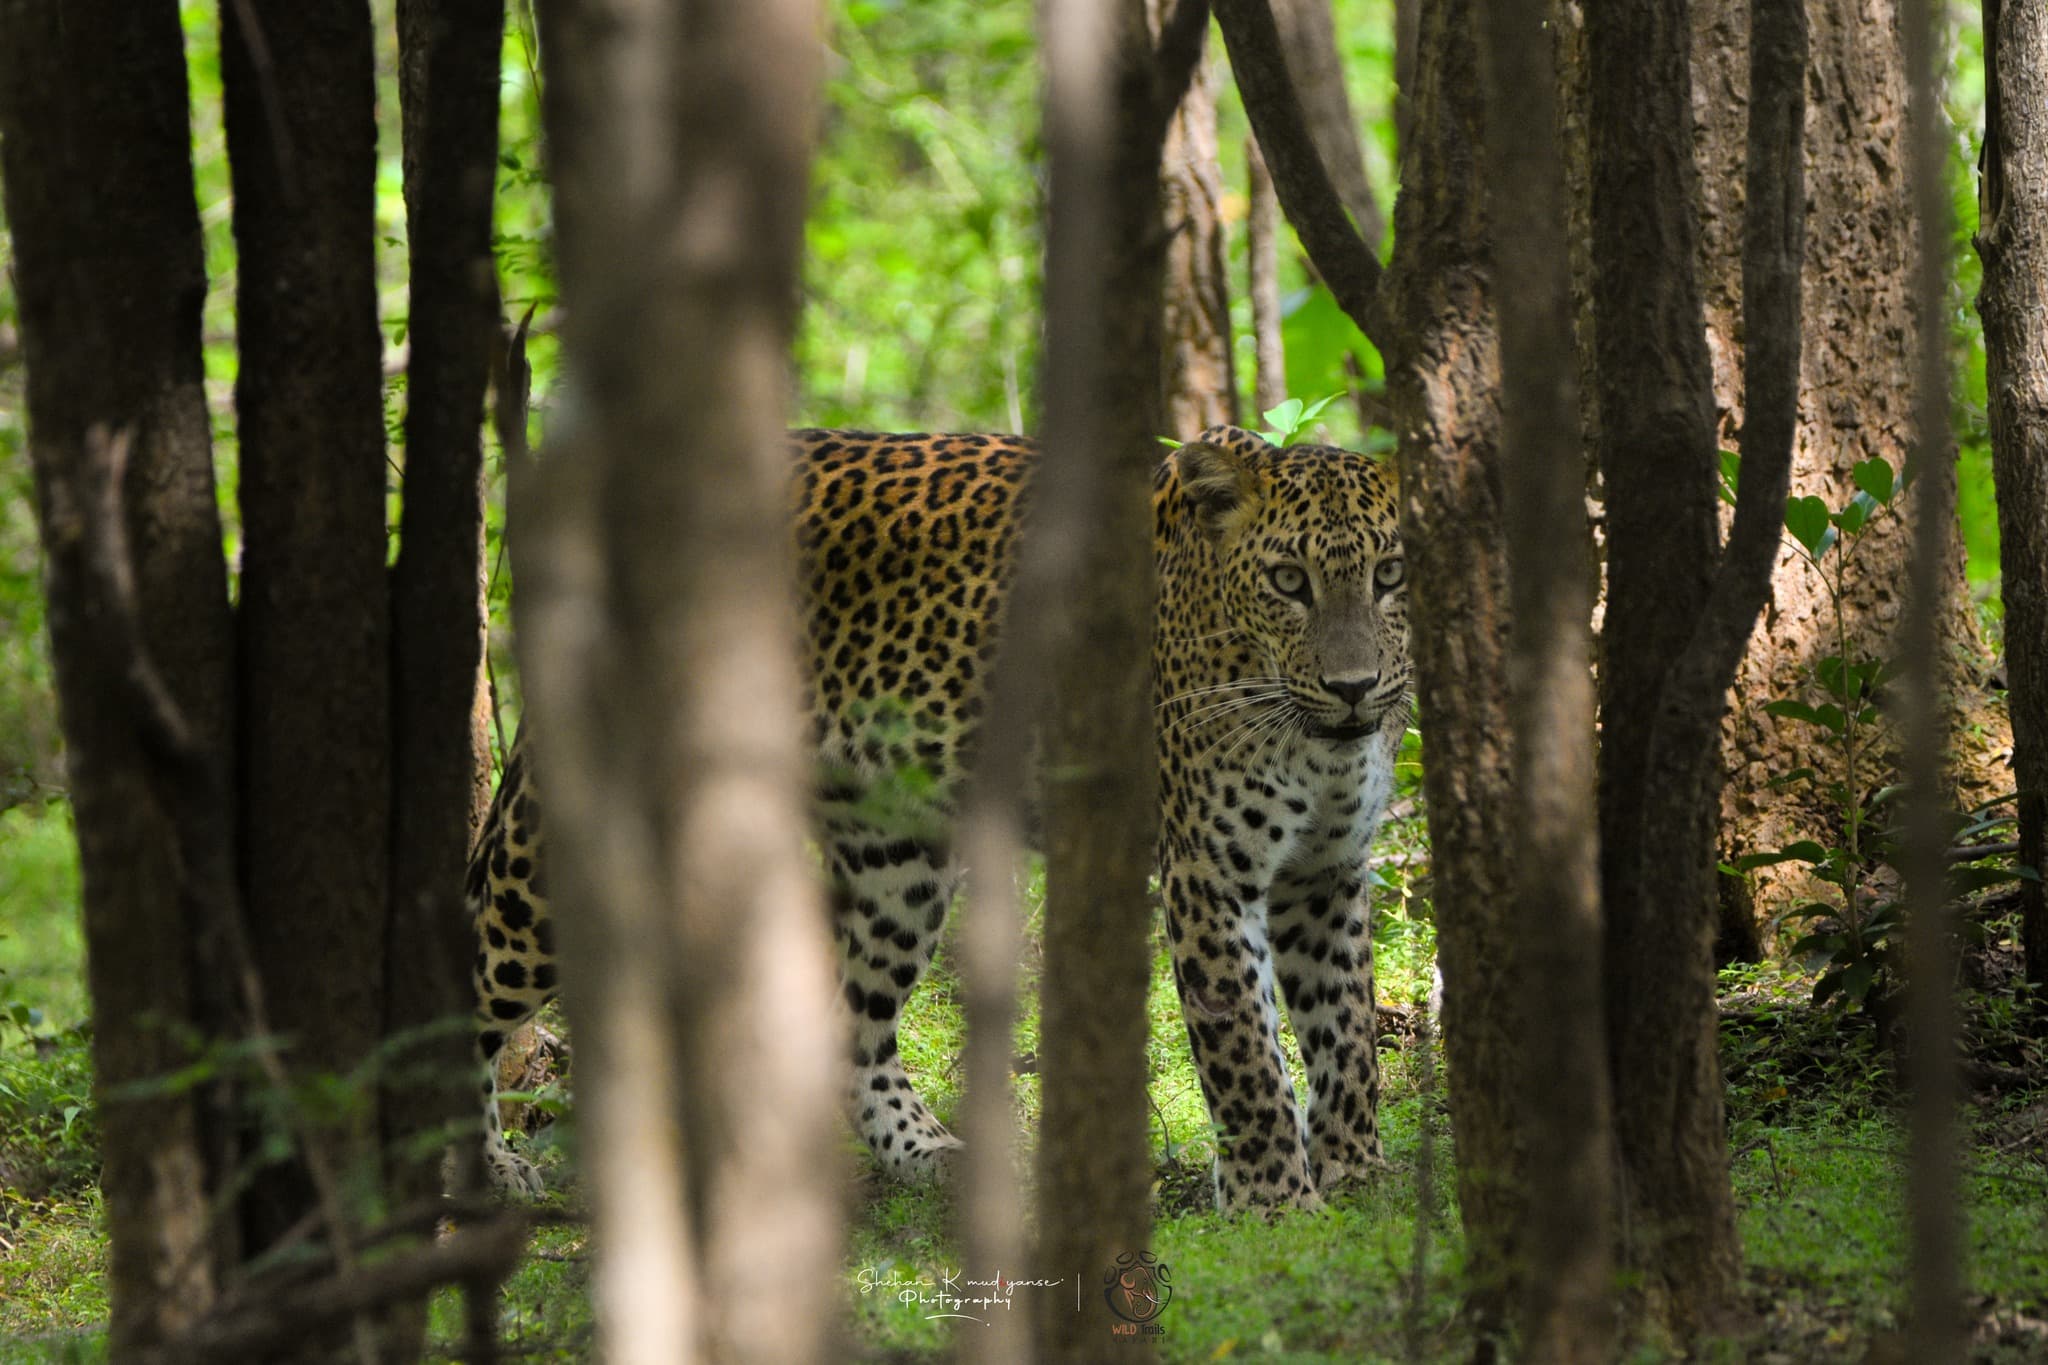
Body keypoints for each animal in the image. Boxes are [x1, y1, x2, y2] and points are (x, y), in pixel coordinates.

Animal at [467, 424, 1410, 1214]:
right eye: (1288, 581)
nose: (1354, 687)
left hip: (900, 860)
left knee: (850, 1020)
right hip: (551, 853)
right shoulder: (1212, 872)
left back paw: (928, 1152)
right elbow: (1246, 1050)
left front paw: (1357, 1174)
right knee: (469, 971)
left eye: (1390, 575)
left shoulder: (1325, 869)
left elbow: (1346, 1029)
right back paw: (478, 1167)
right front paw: (1275, 1203)